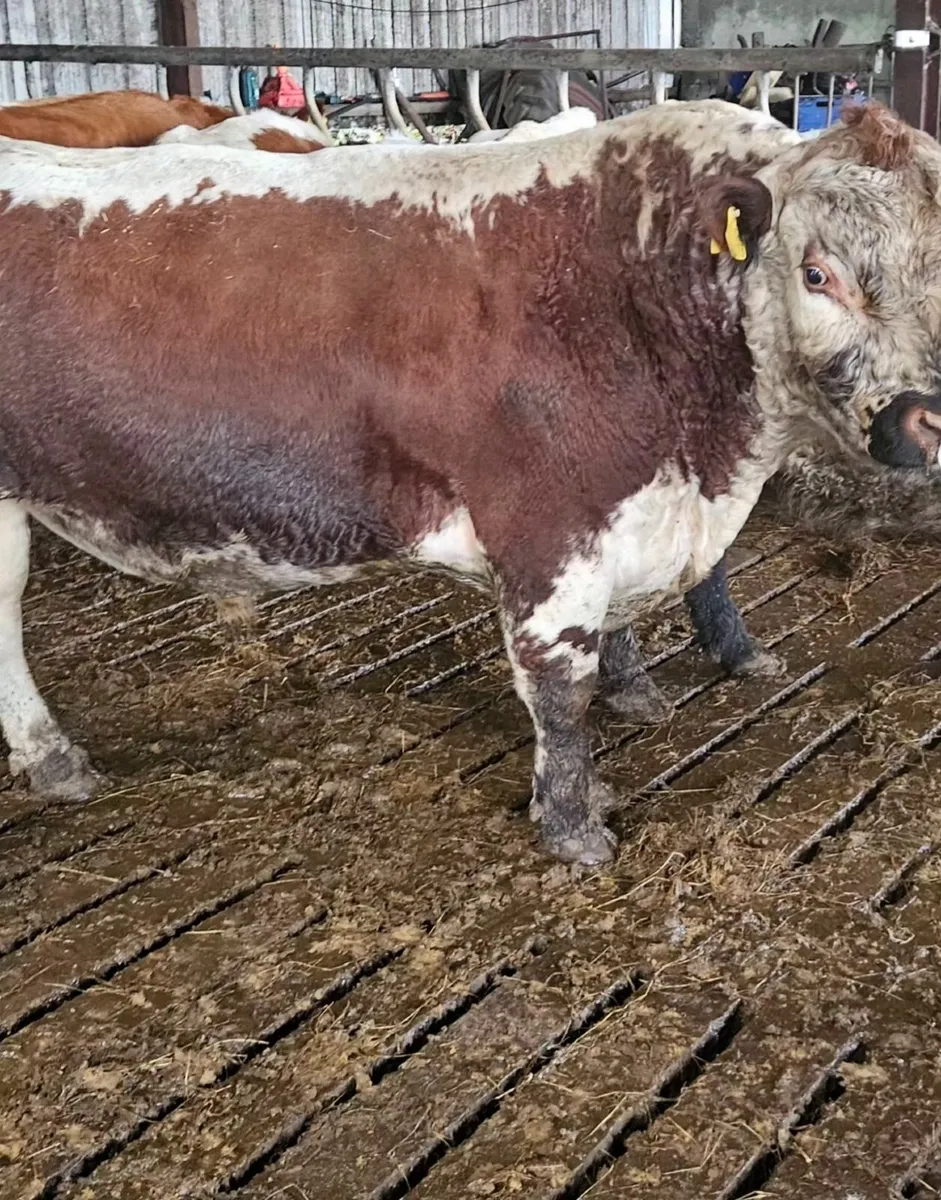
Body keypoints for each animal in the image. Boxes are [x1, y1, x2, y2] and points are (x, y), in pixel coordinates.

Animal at [2, 99, 941, 868]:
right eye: (817, 274)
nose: (924, 417)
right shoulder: (548, 531)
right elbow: (560, 692)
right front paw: (572, 827)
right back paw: (55, 757)